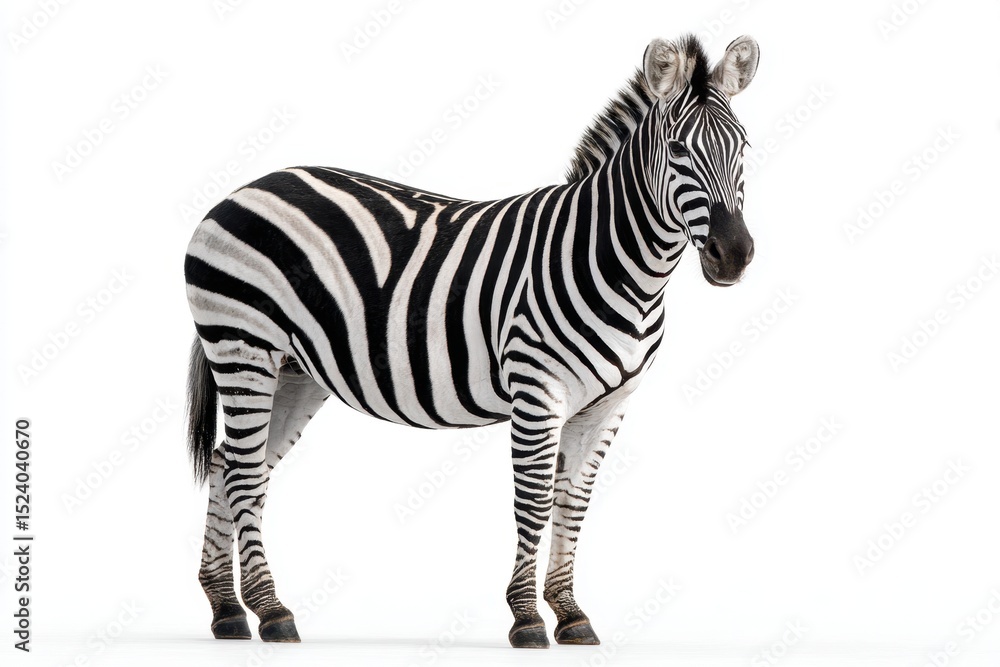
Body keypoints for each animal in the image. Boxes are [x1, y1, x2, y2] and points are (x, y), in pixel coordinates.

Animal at [185, 33, 759, 648]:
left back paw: (227, 609)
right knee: (245, 474)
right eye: (676, 150)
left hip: (295, 371)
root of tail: (245, 188)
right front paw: (527, 618)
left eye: (745, 147)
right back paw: (271, 612)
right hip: (242, 346)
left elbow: (574, 501)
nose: (734, 255)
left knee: (228, 463)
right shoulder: (537, 390)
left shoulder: (610, 404)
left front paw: (571, 614)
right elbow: (533, 499)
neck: (620, 269)